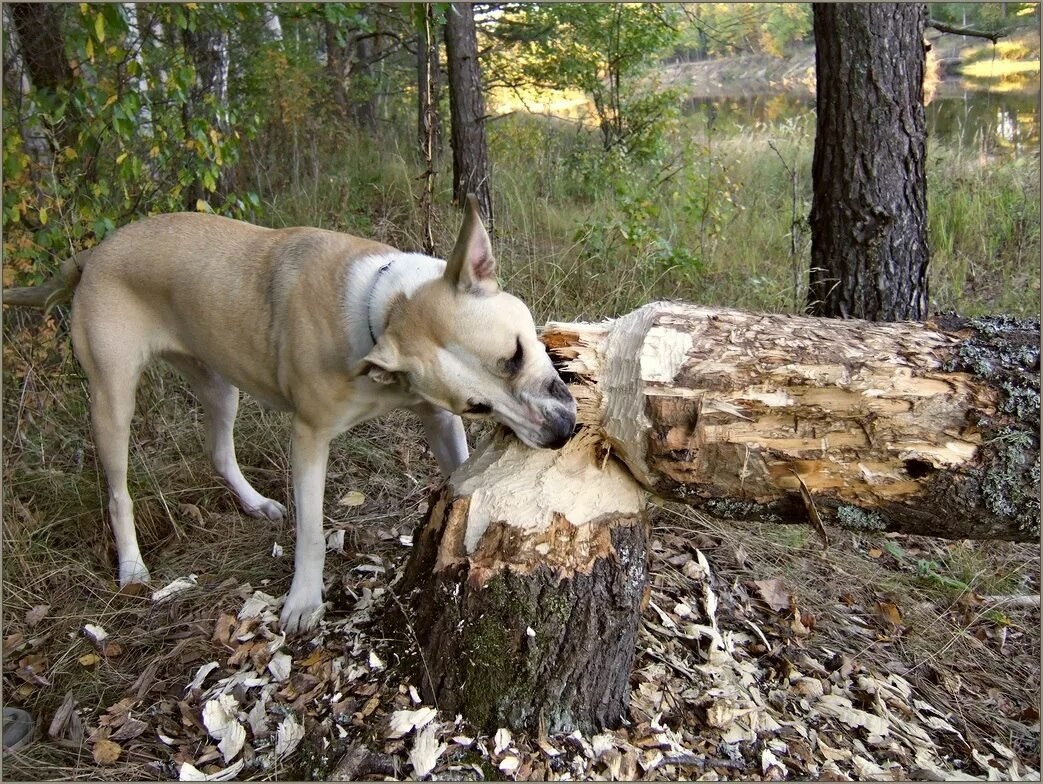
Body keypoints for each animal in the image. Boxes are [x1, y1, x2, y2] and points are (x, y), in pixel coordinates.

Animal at [0, 199, 575, 633]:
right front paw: (302, 601)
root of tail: (92, 253)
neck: (384, 310)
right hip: (112, 398)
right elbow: (313, 533)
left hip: (218, 382)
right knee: (119, 490)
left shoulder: (435, 417)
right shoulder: (310, 437)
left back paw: (254, 503)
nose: (560, 433)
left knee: (218, 451)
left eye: (517, 354)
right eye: (479, 403)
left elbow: (458, 471)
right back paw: (133, 567)